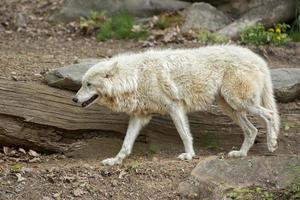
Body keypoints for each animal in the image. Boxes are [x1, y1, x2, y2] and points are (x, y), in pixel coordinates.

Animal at [72, 45, 278, 166]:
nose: (74, 99)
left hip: (238, 102)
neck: (136, 77)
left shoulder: (174, 107)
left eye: (88, 84)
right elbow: (126, 143)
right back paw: (241, 154)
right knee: (252, 130)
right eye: (82, 83)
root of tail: (258, 59)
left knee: (269, 115)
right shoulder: (139, 116)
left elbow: (184, 135)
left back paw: (271, 143)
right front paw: (115, 160)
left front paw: (189, 155)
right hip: (230, 107)